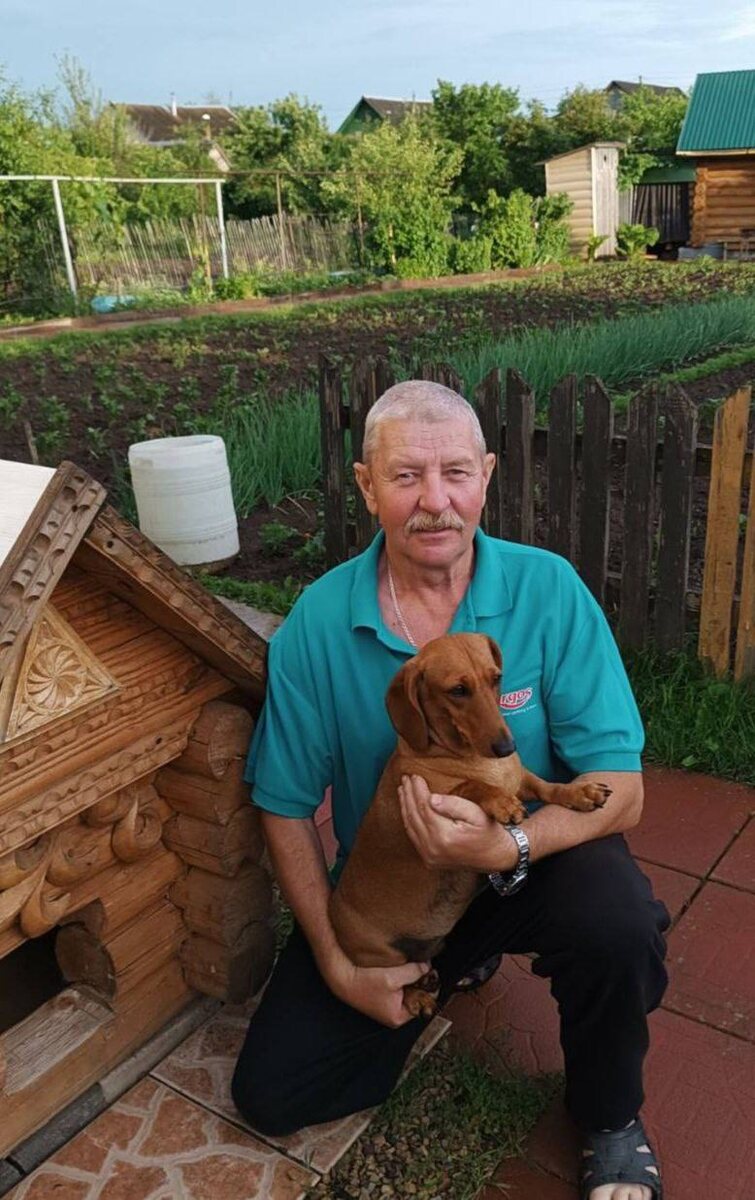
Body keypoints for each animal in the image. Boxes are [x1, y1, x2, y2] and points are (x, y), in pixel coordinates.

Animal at [329, 633, 611, 1016]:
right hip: (380, 954)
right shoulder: (434, 797)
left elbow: (545, 786)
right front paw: (500, 801)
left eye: (496, 678)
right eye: (458, 690)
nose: (507, 746)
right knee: (400, 977)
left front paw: (579, 792)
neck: (473, 759)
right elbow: (470, 787)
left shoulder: (520, 778)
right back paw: (416, 994)